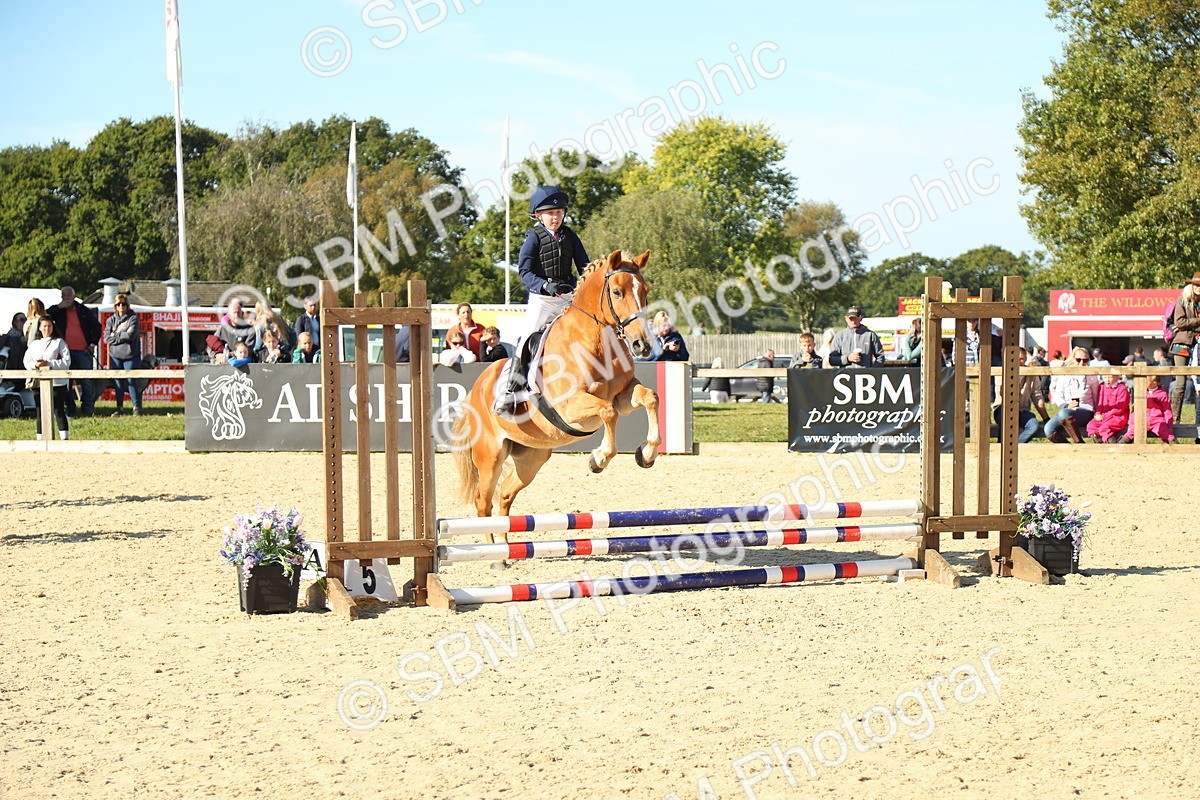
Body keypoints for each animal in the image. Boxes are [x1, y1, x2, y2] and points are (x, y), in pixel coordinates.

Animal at [451, 249, 661, 529]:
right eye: (617, 292)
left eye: (645, 291)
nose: (642, 346)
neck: (596, 342)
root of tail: (476, 388)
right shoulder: (571, 405)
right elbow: (608, 412)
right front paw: (599, 458)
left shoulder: (623, 395)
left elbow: (650, 398)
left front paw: (647, 454)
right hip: (490, 456)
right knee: (483, 504)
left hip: (532, 457)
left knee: (505, 495)